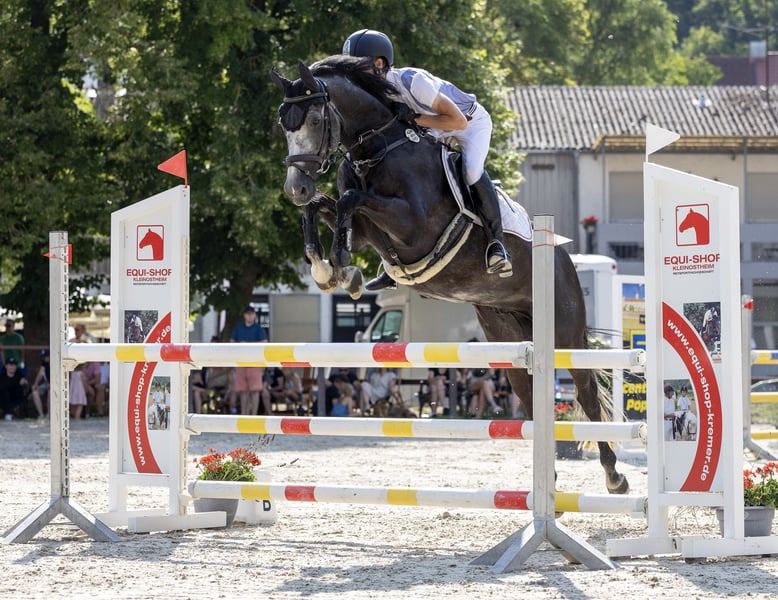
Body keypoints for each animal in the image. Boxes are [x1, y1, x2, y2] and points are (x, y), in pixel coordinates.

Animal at [270, 55, 629, 495]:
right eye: (284, 124)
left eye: (317, 120)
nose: (295, 187)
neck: (379, 148)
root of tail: (562, 254)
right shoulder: (370, 229)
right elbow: (328, 206)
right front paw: (330, 270)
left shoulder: (413, 226)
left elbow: (349, 201)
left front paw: (337, 262)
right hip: (507, 335)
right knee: (529, 395)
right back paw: (548, 481)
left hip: (564, 332)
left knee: (587, 391)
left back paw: (615, 476)